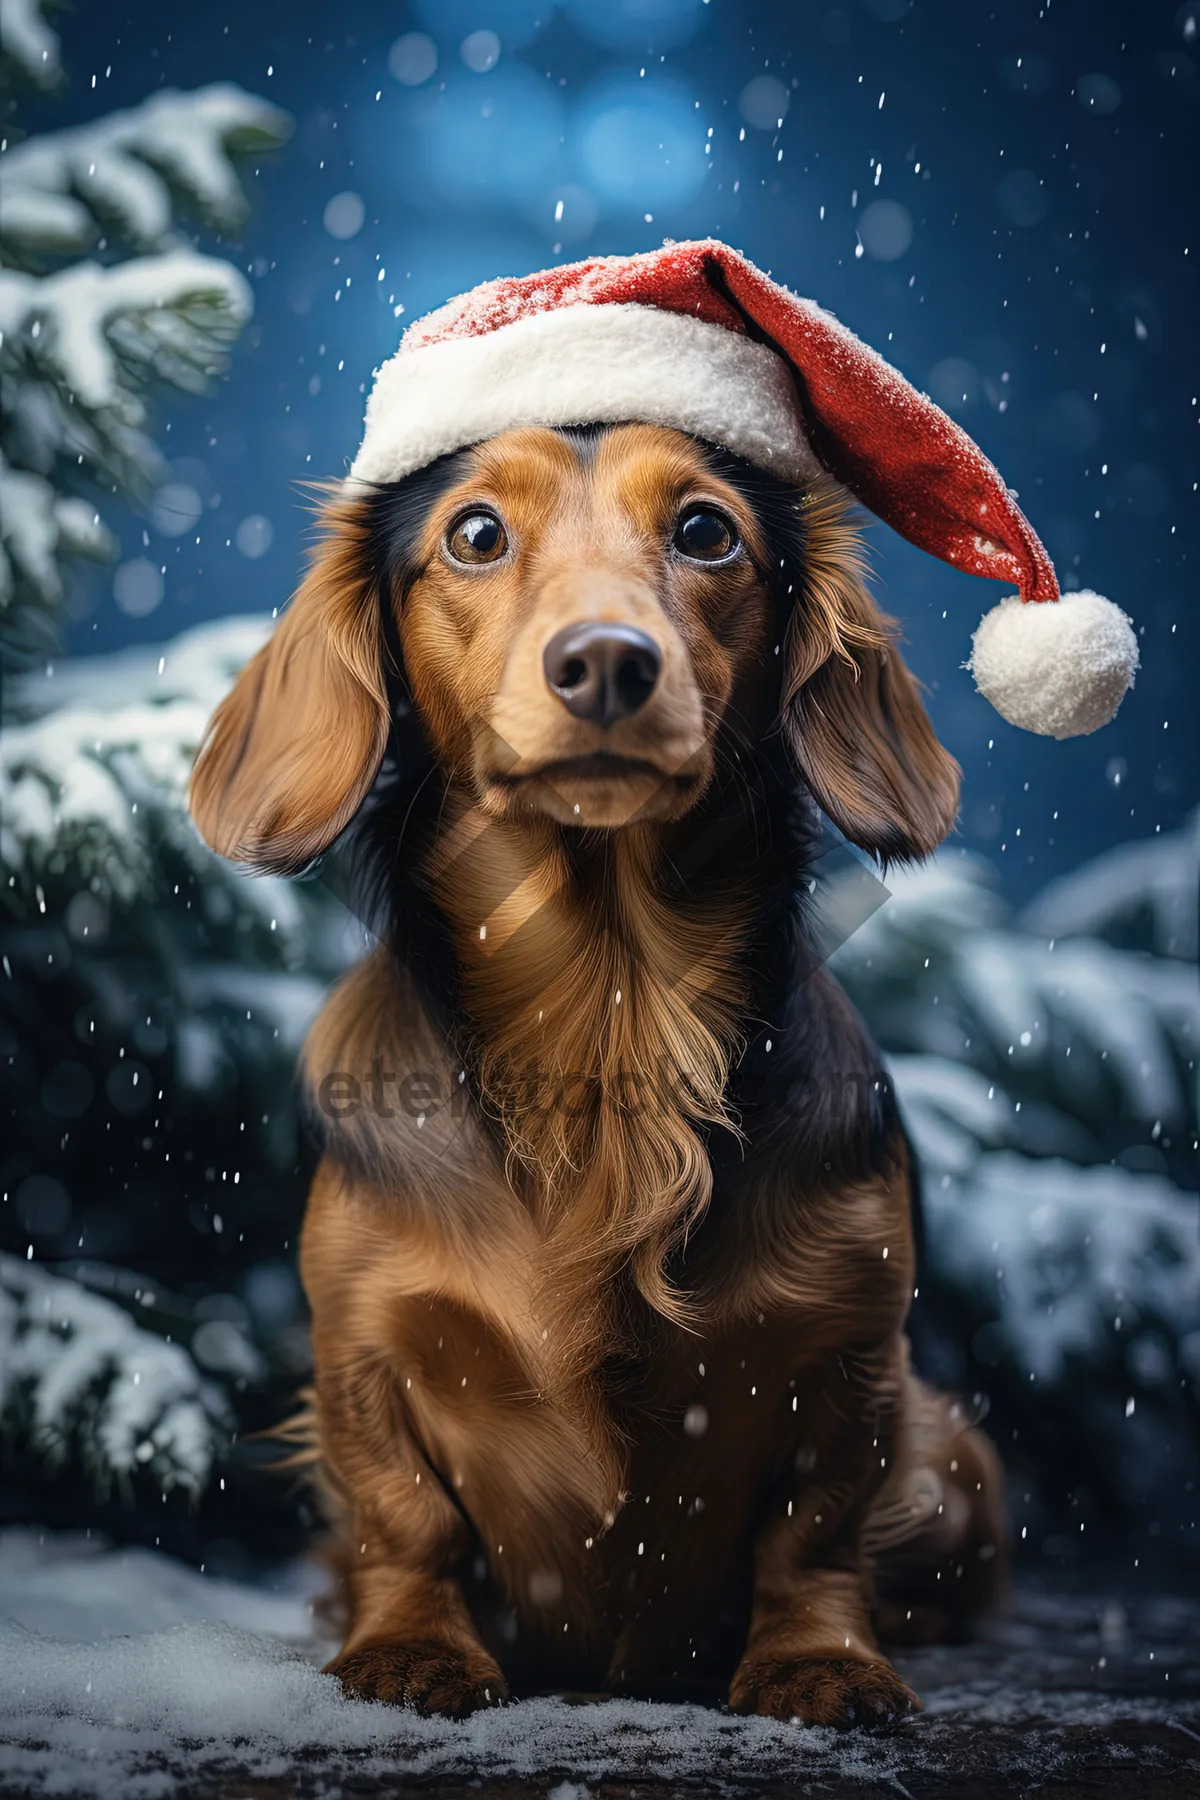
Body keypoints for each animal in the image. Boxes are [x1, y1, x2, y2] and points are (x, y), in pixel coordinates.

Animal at [192, 421, 1007, 1728]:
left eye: (706, 530)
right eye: (476, 532)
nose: (609, 664)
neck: (607, 1019)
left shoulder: (856, 1351)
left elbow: (817, 1529)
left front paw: (820, 1660)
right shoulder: (359, 1343)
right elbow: (401, 1514)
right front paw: (411, 1647)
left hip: (963, 1458)